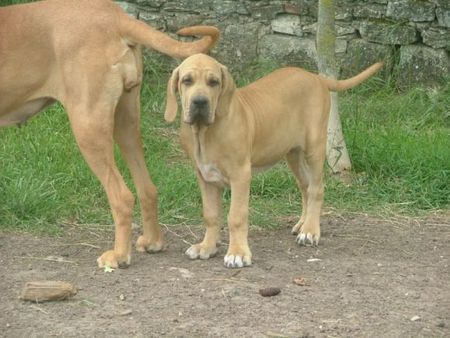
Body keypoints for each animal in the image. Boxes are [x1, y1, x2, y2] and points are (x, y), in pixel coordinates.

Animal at [0, 0, 219, 270]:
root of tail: (115, 16)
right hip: (125, 123)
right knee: (147, 189)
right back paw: (153, 241)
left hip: (88, 126)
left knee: (122, 197)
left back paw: (119, 255)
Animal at [163, 54, 382, 268]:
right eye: (187, 81)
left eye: (214, 82)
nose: (200, 102)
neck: (205, 131)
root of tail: (316, 77)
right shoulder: (205, 177)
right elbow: (210, 215)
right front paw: (207, 247)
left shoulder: (240, 175)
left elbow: (236, 216)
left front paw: (237, 253)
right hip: (293, 153)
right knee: (306, 187)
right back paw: (303, 224)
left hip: (315, 147)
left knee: (316, 188)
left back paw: (310, 231)